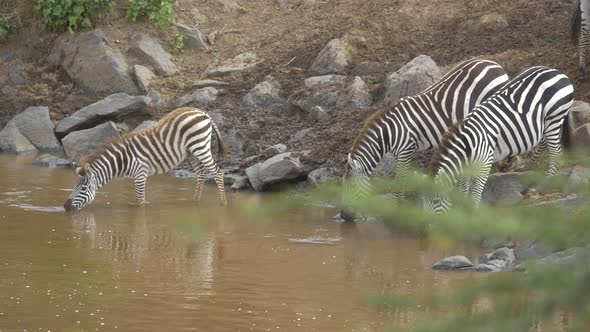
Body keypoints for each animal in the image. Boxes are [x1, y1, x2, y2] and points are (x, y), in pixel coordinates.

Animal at [64, 107, 227, 211]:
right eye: (74, 187)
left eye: (83, 188)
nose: (65, 207)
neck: (122, 161)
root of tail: (202, 112)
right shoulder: (136, 176)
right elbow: (138, 200)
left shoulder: (140, 174)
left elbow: (140, 202)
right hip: (191, 152)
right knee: (201, 173)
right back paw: (195, 202)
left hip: (200, 146)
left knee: (217, 172)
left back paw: (222, 204)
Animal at [340, 58, 512, 222]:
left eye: (350, 187)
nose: (344, 216)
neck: (390, 132)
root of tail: (493, 63)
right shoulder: (402, 154)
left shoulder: (406, 150)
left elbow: (400, 180)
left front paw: (399, 207)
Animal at [428, 66, 576, 214]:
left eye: (435, 201)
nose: (429, 221)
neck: (468, 144)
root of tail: (557, 72)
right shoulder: (467, 166)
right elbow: (464, 188)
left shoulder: (485, 163)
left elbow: (477, 191)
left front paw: (473, 212)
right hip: (545, 123)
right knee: (544, 143)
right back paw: (527, 168)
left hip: (554, 117)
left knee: (556, 151)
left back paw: (547, 182)